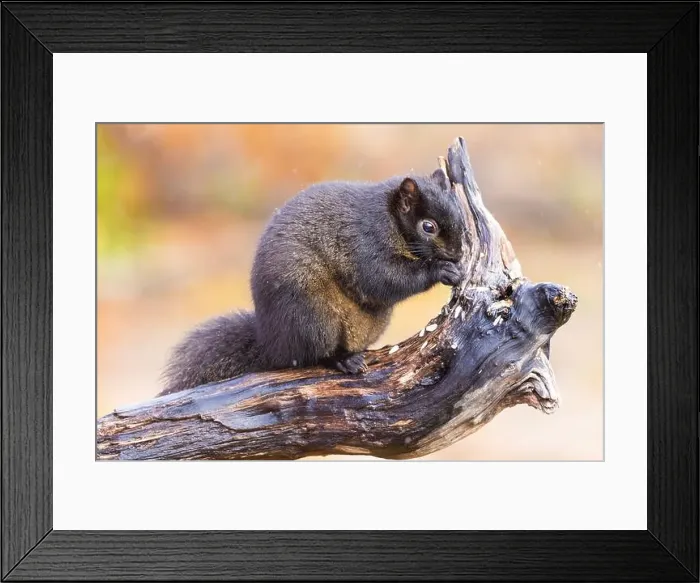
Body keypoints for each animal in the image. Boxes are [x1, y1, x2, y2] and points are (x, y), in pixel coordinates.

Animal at [159, 168, 466, 395]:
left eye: (461, 218)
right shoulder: (366, 240)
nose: (458, 253)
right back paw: (342, 360)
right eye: (428, 227)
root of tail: (272, 344)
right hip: (314, 317)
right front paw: (442, 270)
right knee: (312, 357)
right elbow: (381, 278)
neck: (390, 216)